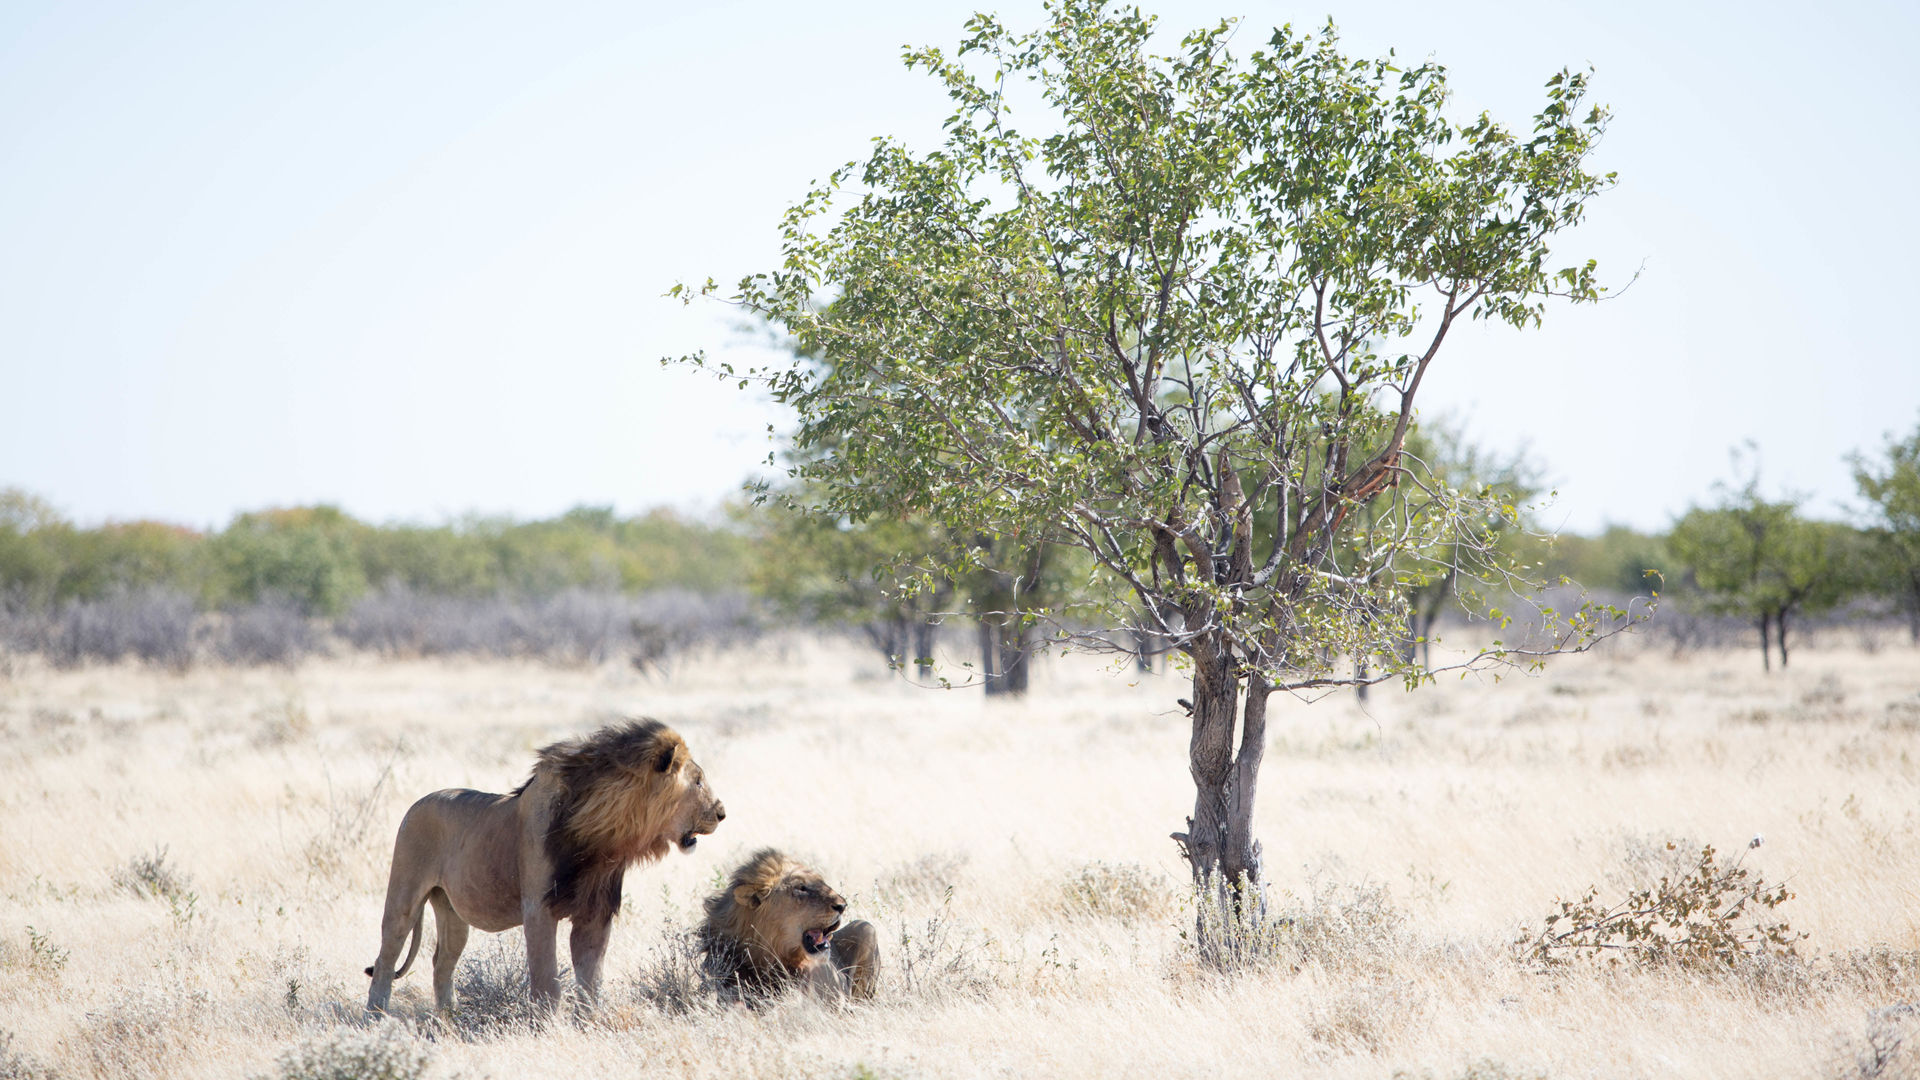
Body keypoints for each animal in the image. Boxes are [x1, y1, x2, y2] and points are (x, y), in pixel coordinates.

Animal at [362, 718, 721, 1014]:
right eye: (698, 781)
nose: (722, 812)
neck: (604, 835)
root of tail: (418, 803)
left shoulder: (596, 912)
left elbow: (591, 978)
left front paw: (590, 1022)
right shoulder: (538, 908)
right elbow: (546, 975)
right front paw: (545, 1023)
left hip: (451, 911)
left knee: (442, 962)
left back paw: (449, 1018)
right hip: (404, 894)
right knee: (386, 957)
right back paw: (376, 1017)